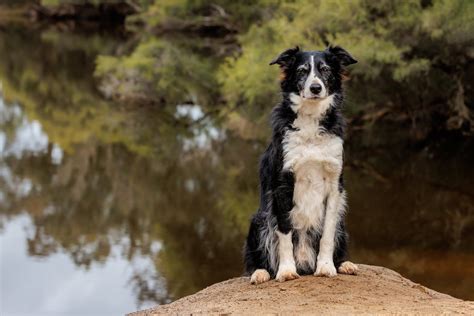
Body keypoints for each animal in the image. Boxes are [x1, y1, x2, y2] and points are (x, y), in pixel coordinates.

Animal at [244, 46, 360, 284]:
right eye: (302, 71)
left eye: (325, 69)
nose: (315, 88)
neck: (310, 119)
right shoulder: (282, 185)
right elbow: (284, 233)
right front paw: (286, 270)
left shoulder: (334, 185)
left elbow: (327, 233)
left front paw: (325, 266)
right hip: (259, 219)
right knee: (257, 258)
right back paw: (261, 272)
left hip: (342, 222)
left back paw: (344, 264)